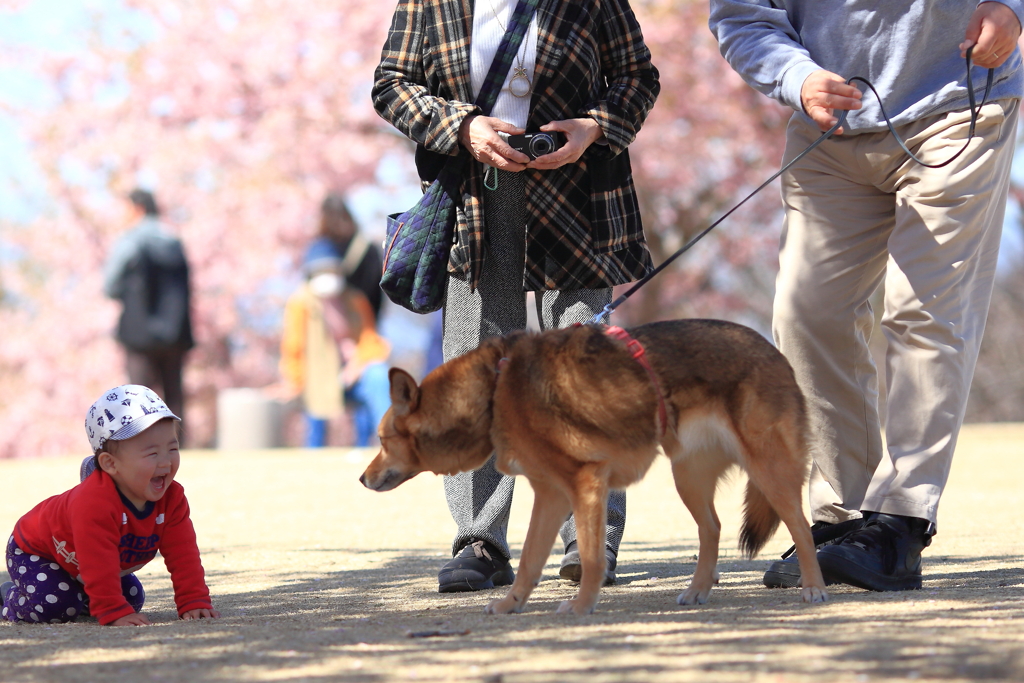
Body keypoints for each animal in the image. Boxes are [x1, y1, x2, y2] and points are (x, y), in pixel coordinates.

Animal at [364, 321, 827, 614]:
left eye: (383, 440)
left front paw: (582, 605)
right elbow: (530, 559)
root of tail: (774, 351)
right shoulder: (551, 495)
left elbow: (588, 557)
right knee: (711, 529)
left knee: (801, 528)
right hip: (688, 478)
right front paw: (512, 605)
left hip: (768, 470)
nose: (362, 478)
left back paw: (814, 587)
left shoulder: (585, 485)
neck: (494, 389)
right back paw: (697, 591)